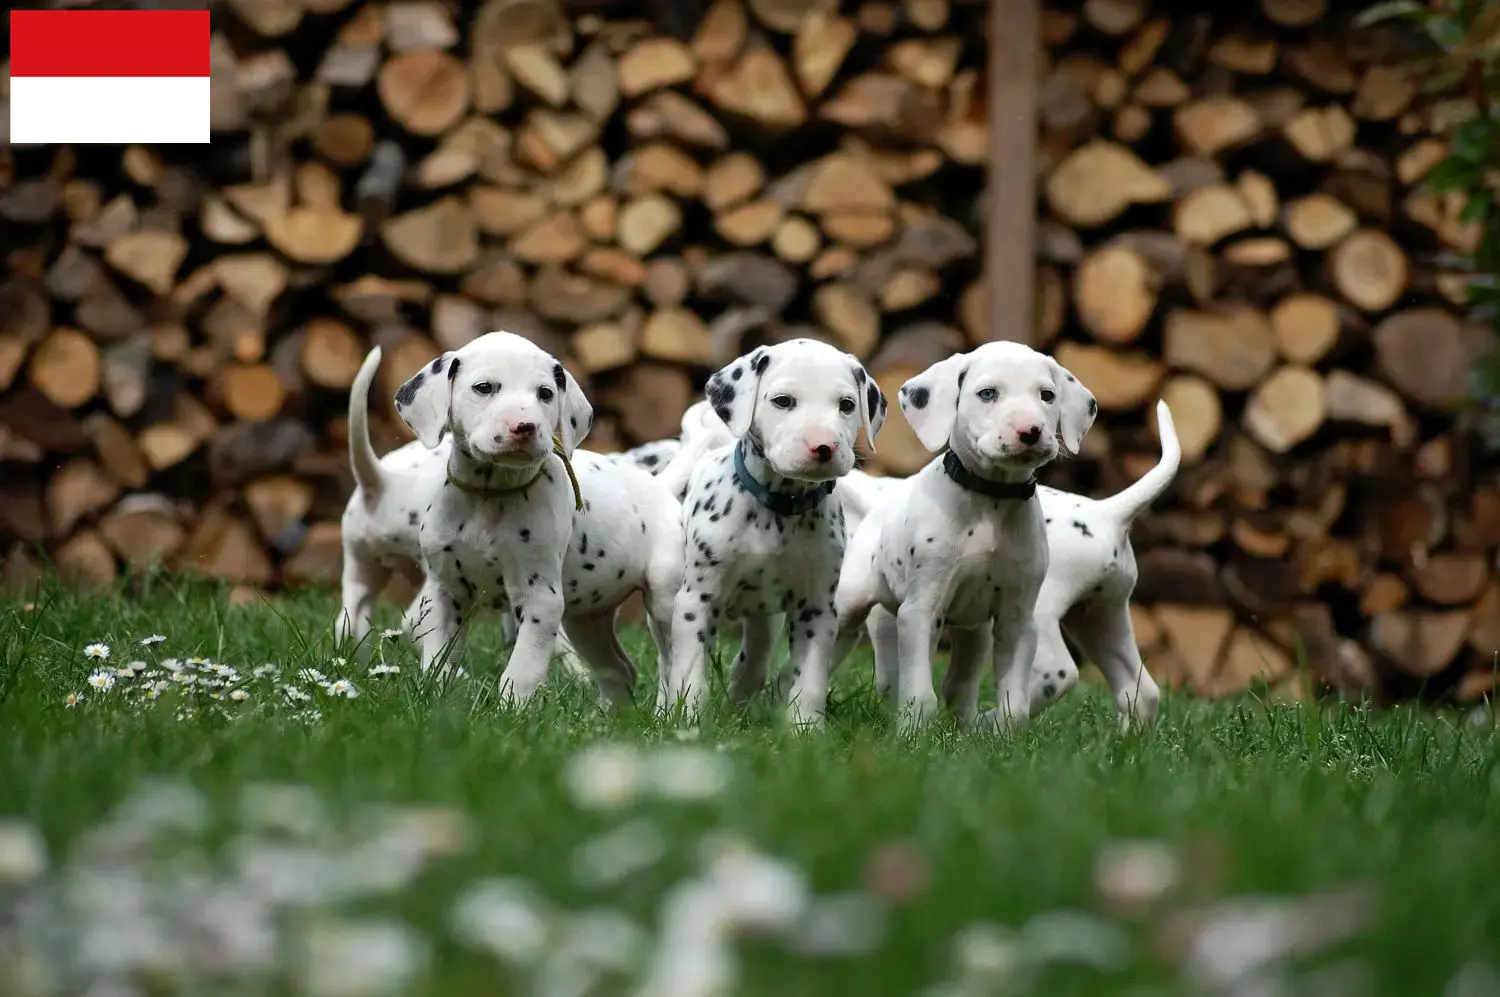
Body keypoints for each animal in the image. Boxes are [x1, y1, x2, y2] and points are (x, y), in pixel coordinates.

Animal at [396, 332, 684, 707]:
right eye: (484, 388)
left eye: (545, 393)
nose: (525, 427)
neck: (491, 496)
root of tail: (661, 488)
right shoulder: (445, 592)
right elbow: (438, 660)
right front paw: (435, 699)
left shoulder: (539, 599)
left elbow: (520, 672)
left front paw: (510, 711)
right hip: (586, 621)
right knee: (620, 671)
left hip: (664, 601)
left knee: (671, 664)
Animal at [663, 338, 882, 719]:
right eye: (783, 401)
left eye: (846, 405)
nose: (823, 446)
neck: (780, 508)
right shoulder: (696, 602)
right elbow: (690, 673)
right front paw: (688, 719)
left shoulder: (817, 610)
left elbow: (809, 679)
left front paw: (806, 725)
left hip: (765, 617)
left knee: (752, 663)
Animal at [834, 338, 1092, 728]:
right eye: (987, 394)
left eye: (1047, 395)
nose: (1030, 431)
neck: (992, 502)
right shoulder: (922, 611)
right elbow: (920, 696)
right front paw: (912, 733)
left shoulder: (1017, 619)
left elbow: (1014, 704)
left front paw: (1000, 731)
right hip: (849, 605)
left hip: (973, 633)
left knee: (959, 684)